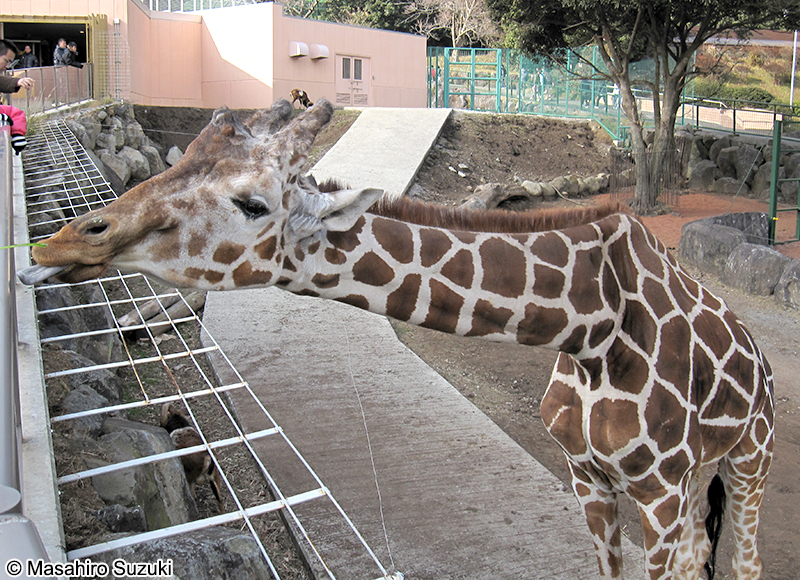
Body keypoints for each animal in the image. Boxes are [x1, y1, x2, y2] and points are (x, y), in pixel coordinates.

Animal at [20, 99, 774, 580]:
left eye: (253, 203)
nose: (56, 243)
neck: (593, 326)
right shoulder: (588, 475)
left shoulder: (658, 488)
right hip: (696, 479)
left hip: (747, 460)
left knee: (742, 557)